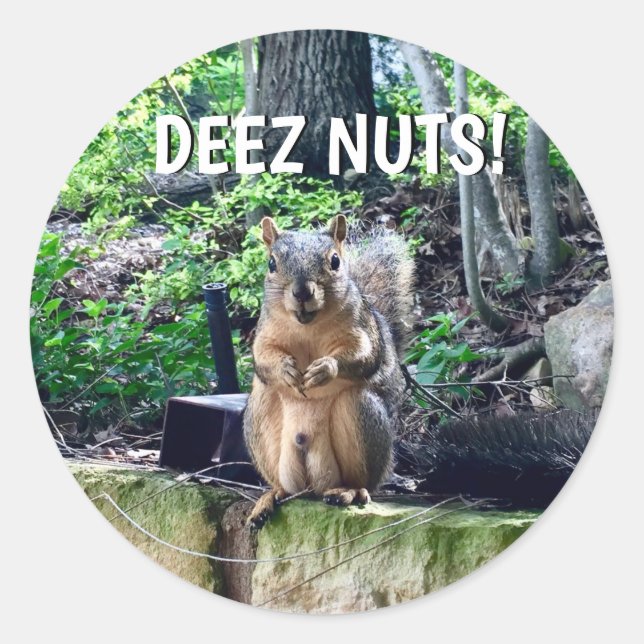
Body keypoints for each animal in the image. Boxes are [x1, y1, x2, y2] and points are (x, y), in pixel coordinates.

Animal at [243, 214, 414, 529]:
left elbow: (365, 356)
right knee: (285, 487)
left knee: (361, 482)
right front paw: (285, 369)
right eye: (271, 263)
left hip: (360, 414)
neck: (307, 326)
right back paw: (270, 497)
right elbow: (263, 358)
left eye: (335, 261)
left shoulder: (362, 329)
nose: (302, 292)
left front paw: (325, 369)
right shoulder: (265, 333)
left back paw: (349, 492)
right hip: (261, 416)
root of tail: (313, 485)